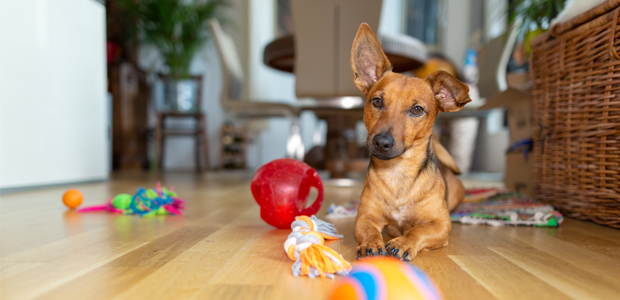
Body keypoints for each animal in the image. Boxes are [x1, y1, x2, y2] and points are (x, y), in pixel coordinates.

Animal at [348, 23, 470, 262]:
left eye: (417, 109)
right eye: (377, 101)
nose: (381, 142)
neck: (398, 173)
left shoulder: (441, 224)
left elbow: (418, 231)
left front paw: (403, 242)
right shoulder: (365, 217)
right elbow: (369, 231)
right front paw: (371, 243)